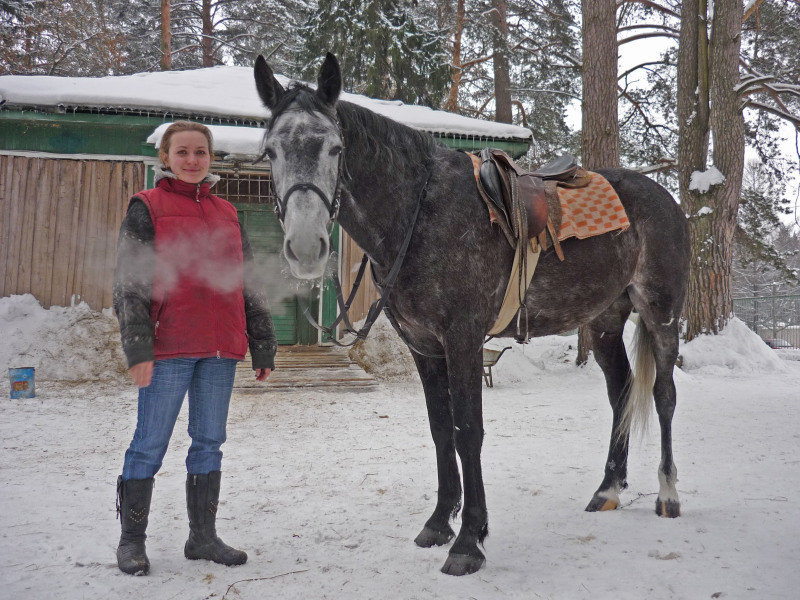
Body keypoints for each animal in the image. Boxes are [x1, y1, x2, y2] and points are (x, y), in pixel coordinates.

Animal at [253, 54, 692, 576]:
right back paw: (607, 489)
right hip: (604, 322)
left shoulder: (462, 339)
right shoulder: (424, 346)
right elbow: (441, 431)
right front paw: (440, 523)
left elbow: (468, 433)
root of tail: (665, 198)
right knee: (621, 392)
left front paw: (469, 540)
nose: (305, 247)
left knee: (664, 395)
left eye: (336, 149)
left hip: (661, 314)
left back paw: (668, 493)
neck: (419, 212)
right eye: (270, 151)